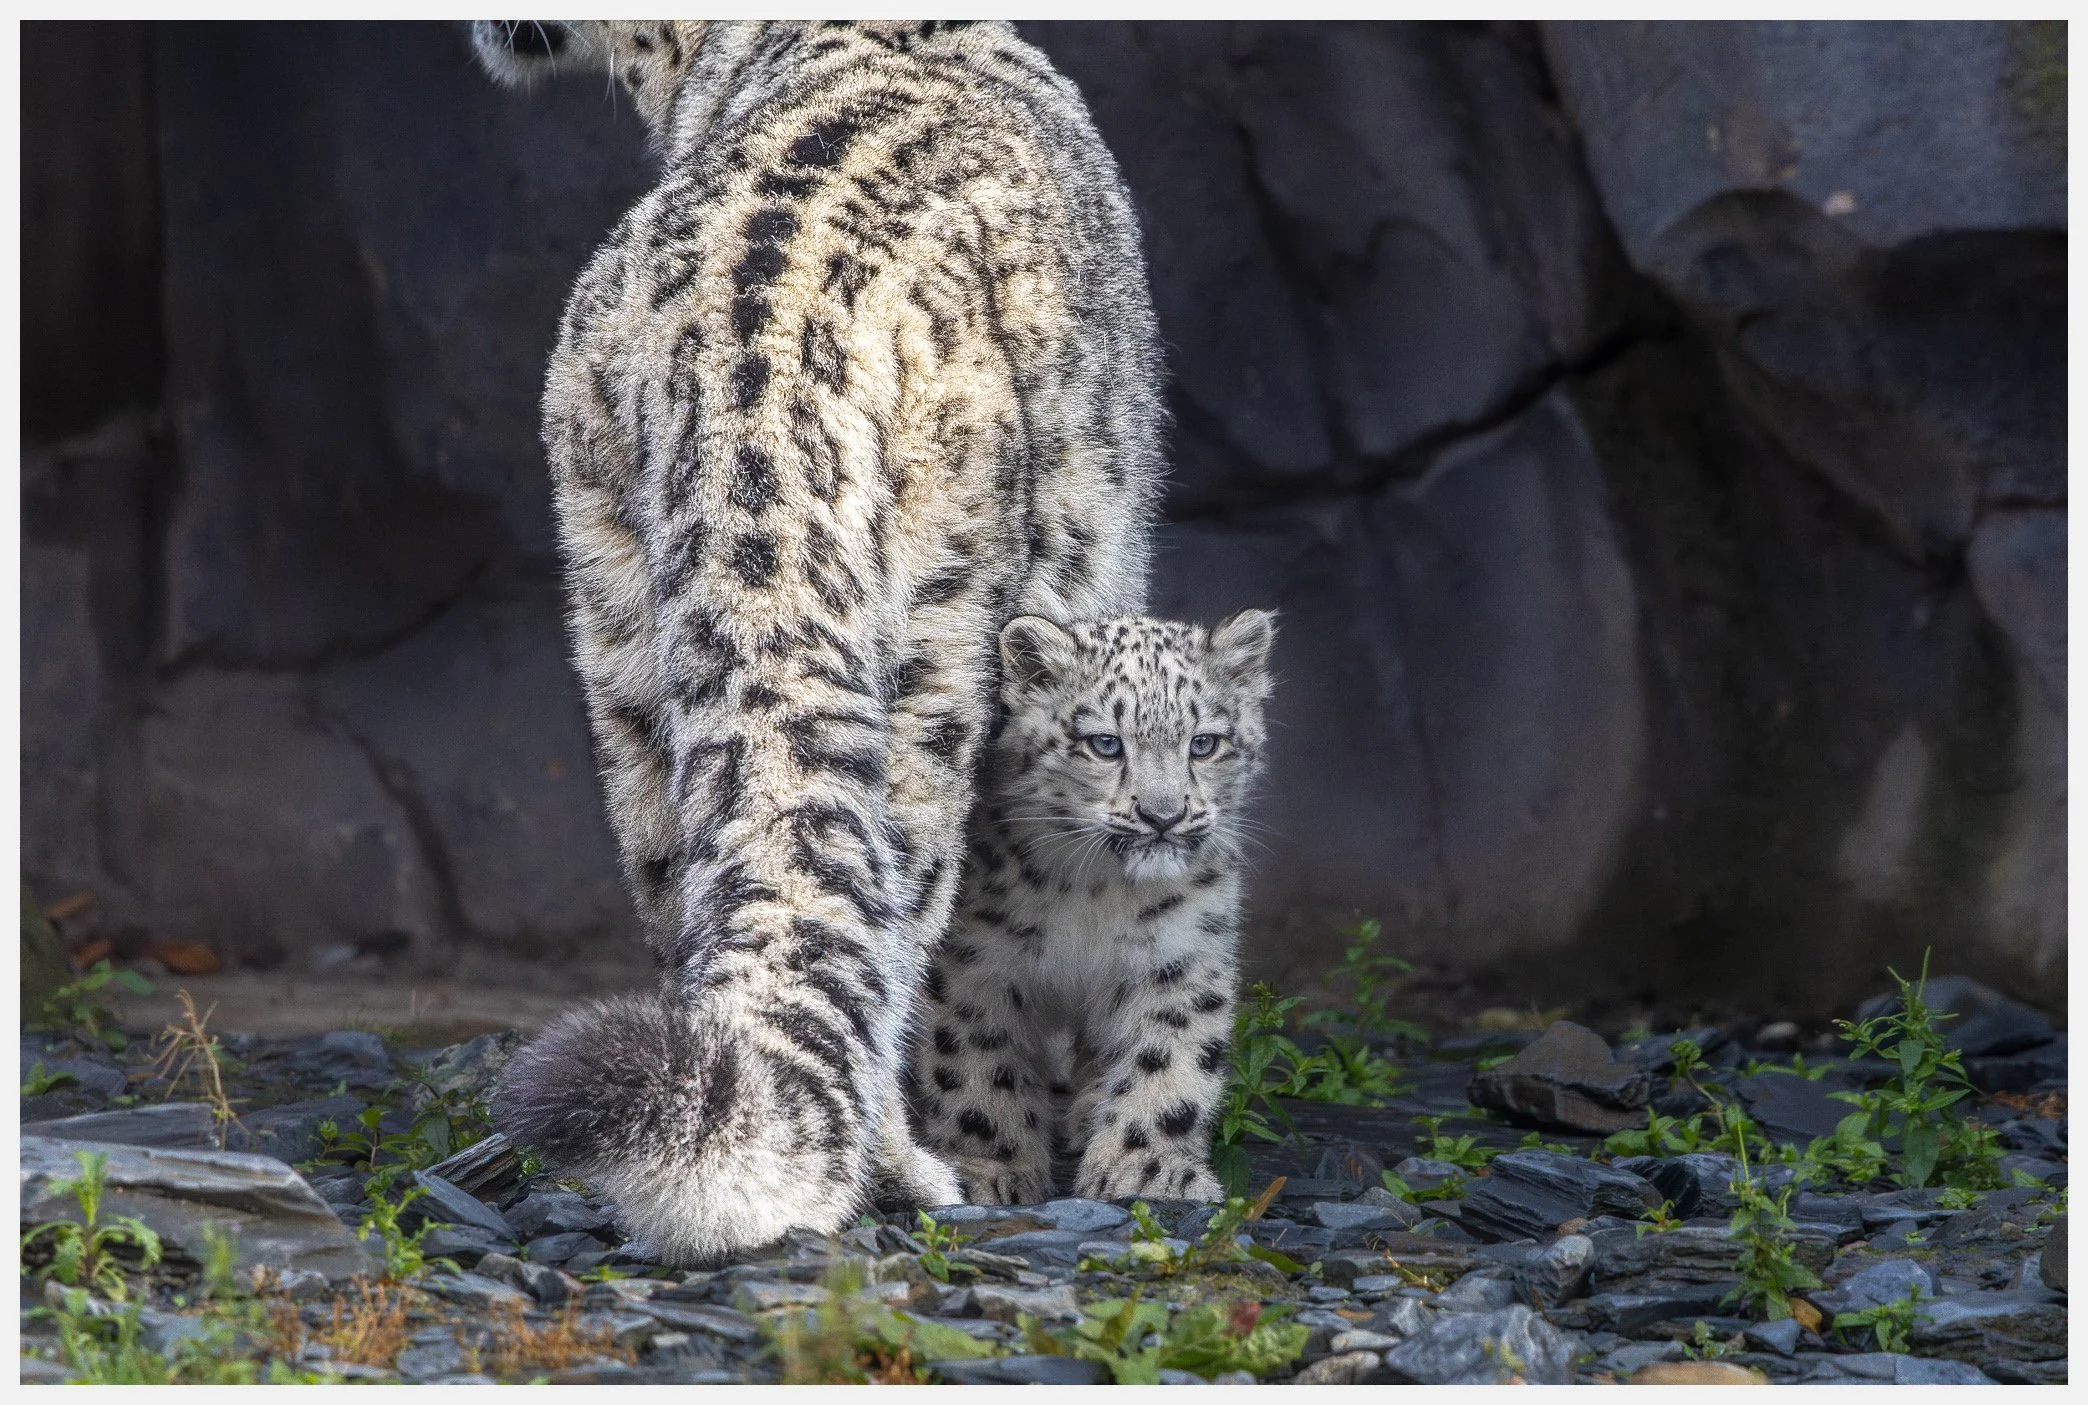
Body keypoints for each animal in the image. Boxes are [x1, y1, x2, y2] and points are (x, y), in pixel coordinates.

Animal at [469, 20, 1166, 1264]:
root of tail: (747, 341)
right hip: (938, 619)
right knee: (897, 886)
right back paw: (904, 1170)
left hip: (612, 595)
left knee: (681, 875)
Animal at [912, 609, 1277, 1205]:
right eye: (1105, 743)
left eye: (1203, 744)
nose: (1163, 815)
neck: (1096, 894)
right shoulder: (977, 963)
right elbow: (976, 1063)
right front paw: (990, 1167)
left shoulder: (1181, 955)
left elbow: (1168, 1059)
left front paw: (1145, 1168)